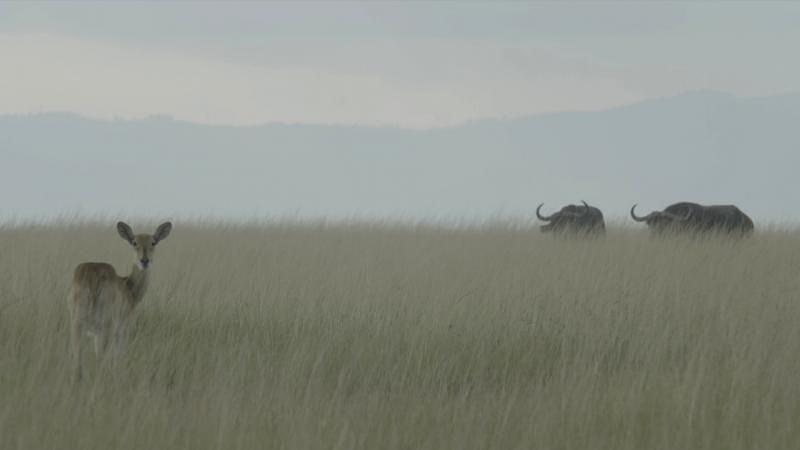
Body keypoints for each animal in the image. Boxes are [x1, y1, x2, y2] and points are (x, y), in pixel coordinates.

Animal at [68, 221, 172, 380]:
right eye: (134, 242)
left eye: (153, 242)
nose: (144, 261)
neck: (129, 288)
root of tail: (92, 276)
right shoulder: (123, 330)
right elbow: (118, 358)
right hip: (106, 327)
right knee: (100, 359)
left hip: (77, 324)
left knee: (78, 361)